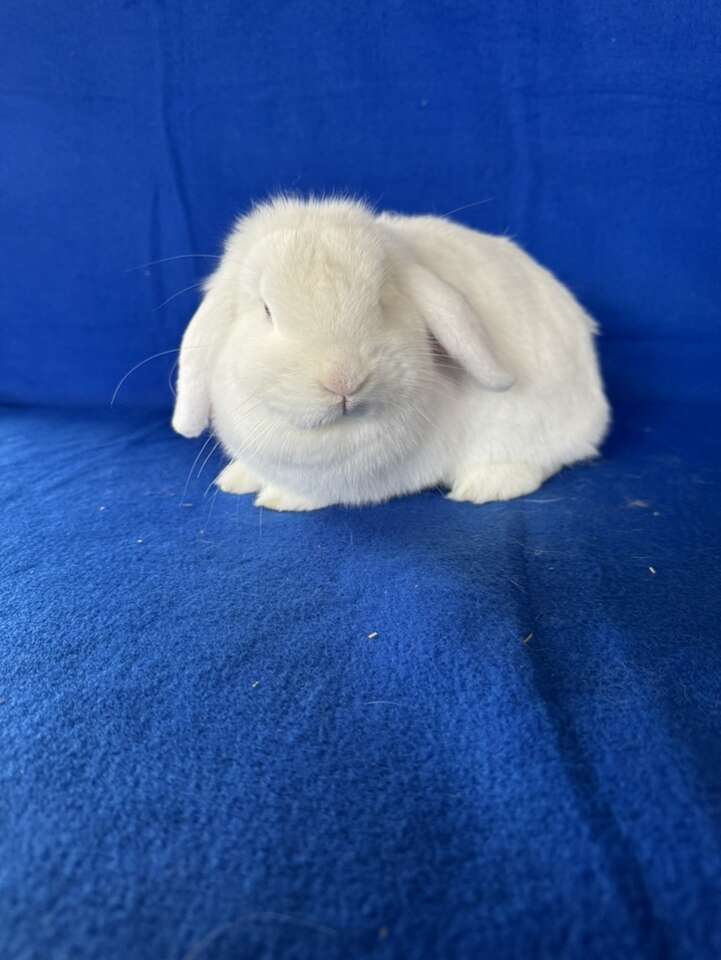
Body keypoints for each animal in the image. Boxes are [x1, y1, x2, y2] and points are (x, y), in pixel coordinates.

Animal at [173, 196, 608, 510]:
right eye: (266, 310)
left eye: (382, 301)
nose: (344, 380)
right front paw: (237, 479)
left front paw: (281, 498)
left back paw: (486, 484)